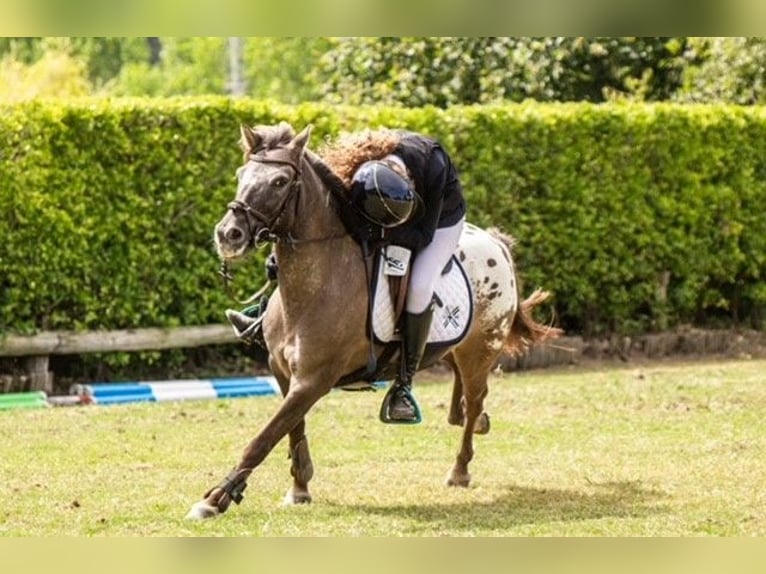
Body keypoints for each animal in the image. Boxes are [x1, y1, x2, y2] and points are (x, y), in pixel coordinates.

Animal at [184, 121, 560, 520]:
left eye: (279, 182)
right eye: (241, 175)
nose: (228, 234)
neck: (316, 284)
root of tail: (496, 242)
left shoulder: (314, 380)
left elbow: (265, 436)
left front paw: (215, 498)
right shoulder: (283, 372)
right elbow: (292, 429)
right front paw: (299, 487)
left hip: (480, 351)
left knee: (473, 402)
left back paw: (459, 469)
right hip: (452, 350)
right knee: (465, 401)